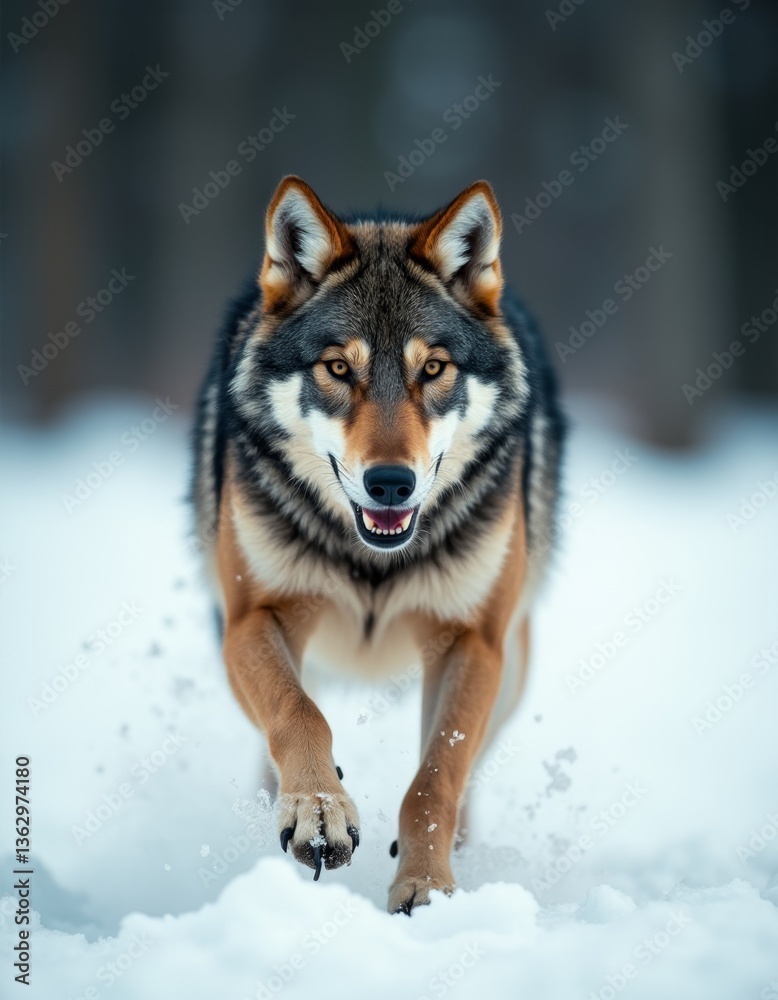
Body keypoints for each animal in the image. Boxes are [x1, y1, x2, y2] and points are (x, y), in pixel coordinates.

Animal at [192, 176, 564, 913]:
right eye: (338, 367)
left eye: (434, 368)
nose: (390, 483)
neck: (373, 565)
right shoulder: (252, 618)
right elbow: (298, 713)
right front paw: (318, 811)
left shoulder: (471, 639)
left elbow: (435, 779)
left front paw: (429, 888)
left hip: (512, 664)